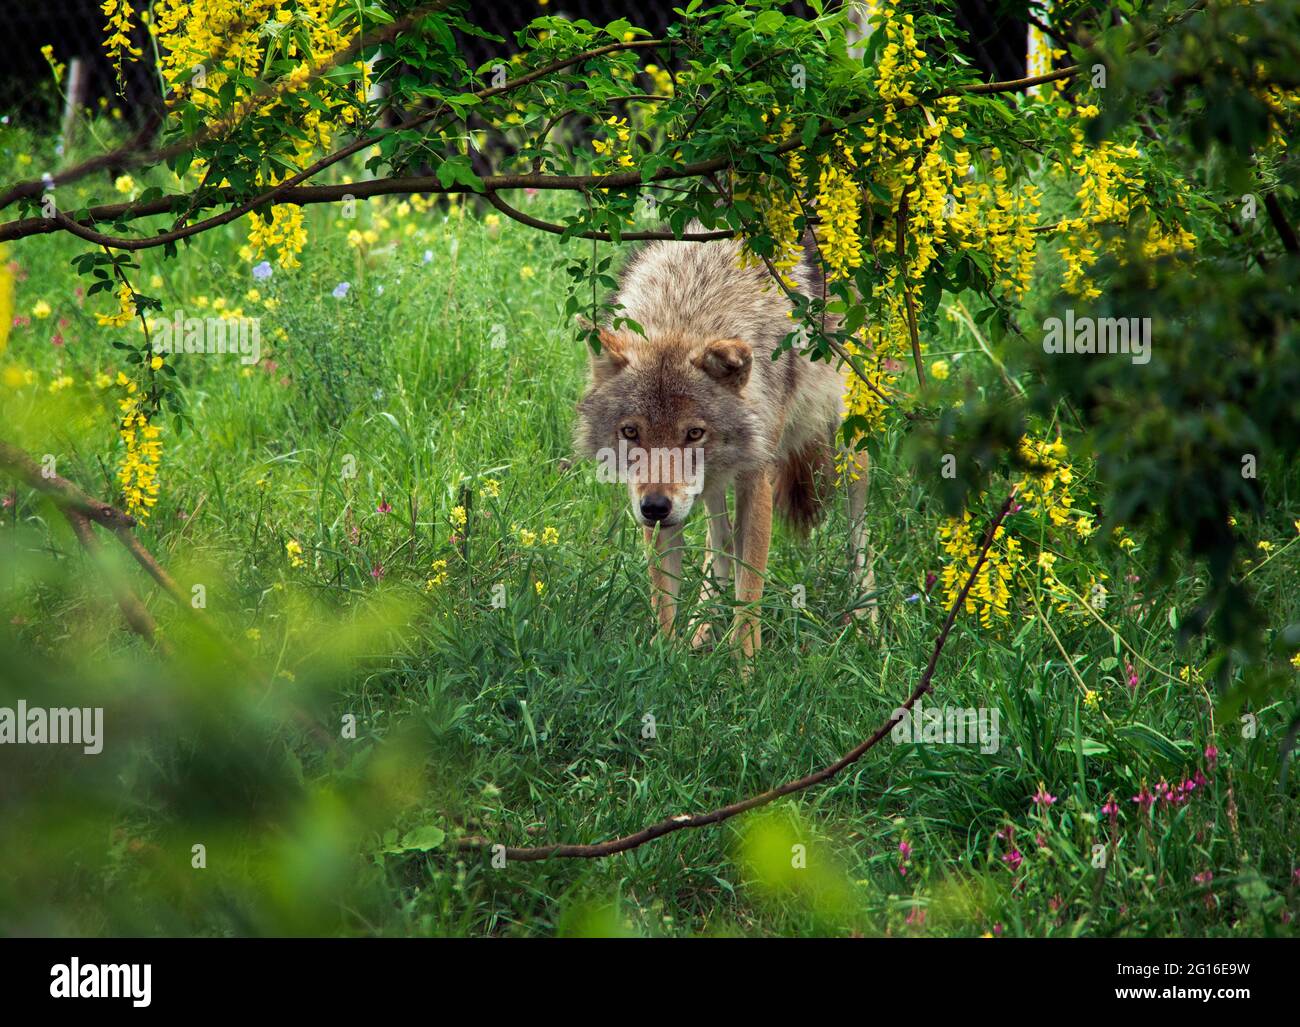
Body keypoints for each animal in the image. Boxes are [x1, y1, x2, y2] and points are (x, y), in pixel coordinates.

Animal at [575, 228, 876, 657]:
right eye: (631, 432)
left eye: (694, 433)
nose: (655, 508)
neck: (689, 307)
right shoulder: (656, 500)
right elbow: (666, 596)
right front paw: (668, 656)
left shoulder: (755, 479)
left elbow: (748, 595)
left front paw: (745, 667)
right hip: (712, 482)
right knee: (718, 537)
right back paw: (702, 629)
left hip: (851, 446)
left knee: (858, 531)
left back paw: (868, 624)